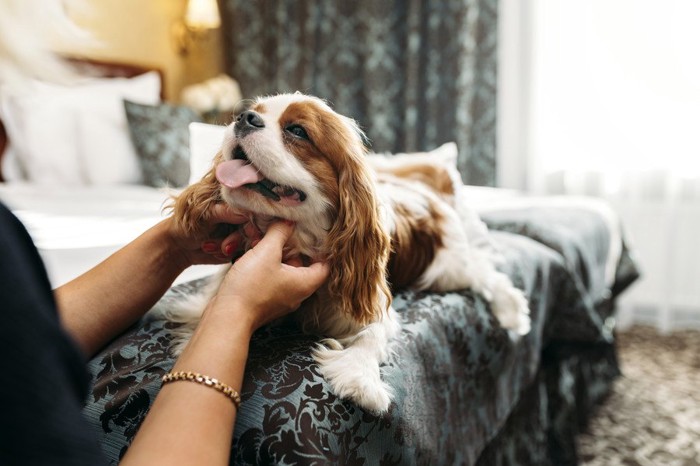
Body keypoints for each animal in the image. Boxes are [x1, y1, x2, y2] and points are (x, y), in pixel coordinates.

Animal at [157, 93, 532, 414]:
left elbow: (370, 335)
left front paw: (360, 379)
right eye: (254, 111)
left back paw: (512, 311)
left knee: (486, 273)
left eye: (297, 131)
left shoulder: (372, 304)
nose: (243, 118)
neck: (300, 240)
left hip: (448, 267)